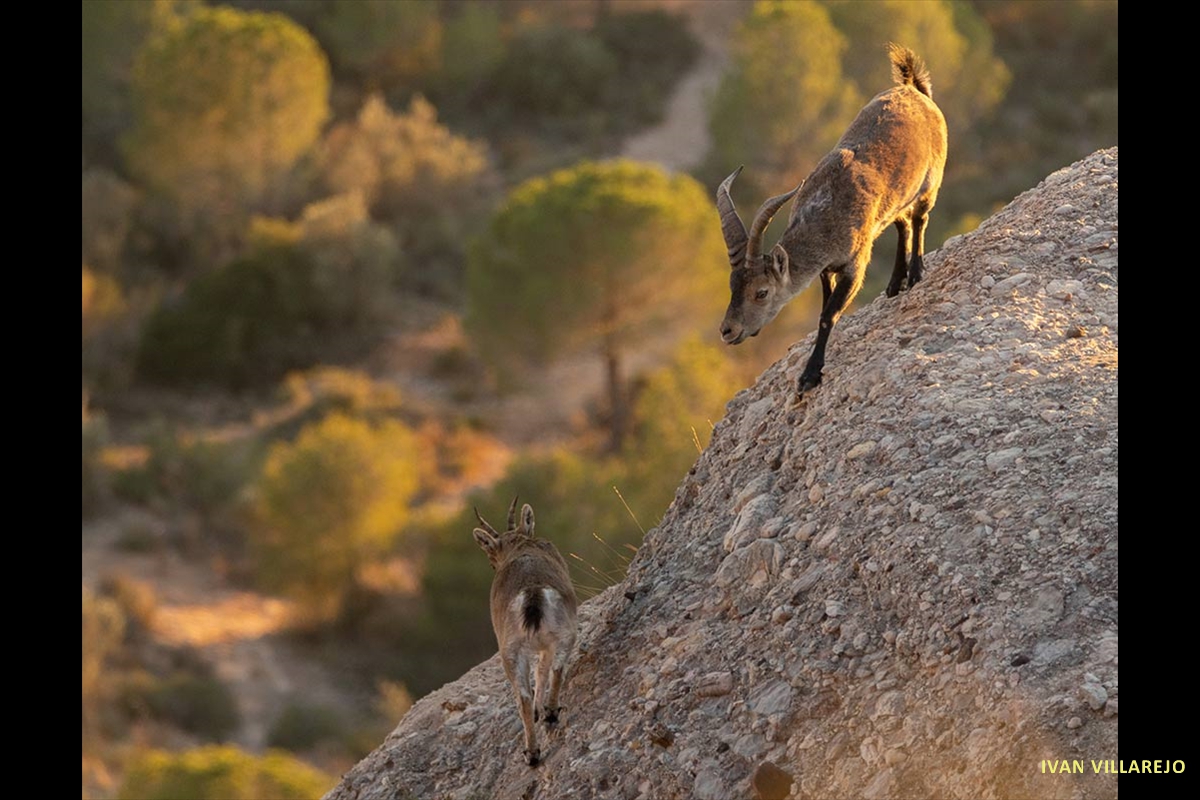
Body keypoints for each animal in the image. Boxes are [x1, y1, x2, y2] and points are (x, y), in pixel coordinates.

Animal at [473, 497, 578, 767]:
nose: (492, 565)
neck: (520, 545)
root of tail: (531, 595)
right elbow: (542, 672)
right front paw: (544, 712)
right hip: (563, 633)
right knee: (554, 669)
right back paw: (550, 714)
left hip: (511, 651)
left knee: (523, 696)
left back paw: (532, 751)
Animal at [717, 44, 948, 395]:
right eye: (732, 285)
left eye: (762, 292)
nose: (727, 331)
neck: (824, 214)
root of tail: (914, 89)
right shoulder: (827, 269)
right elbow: (824, 306)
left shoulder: (855, 263)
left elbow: (828, 315)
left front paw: (810, 375)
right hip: (895, 201)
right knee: (903, 225)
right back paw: (894, 284)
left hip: (930, 183)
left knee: (919, 220)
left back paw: (916, 274)